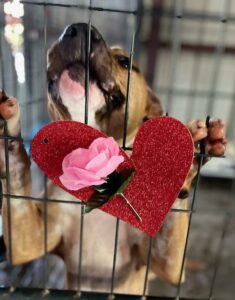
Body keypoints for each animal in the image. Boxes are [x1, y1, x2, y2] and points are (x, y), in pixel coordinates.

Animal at [0, 22, 228, 292]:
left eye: (125, 62)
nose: (79, 28)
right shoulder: (29, 242)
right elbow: (16, 177)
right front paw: (6, 128)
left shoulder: (169, 266)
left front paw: (189, 154)